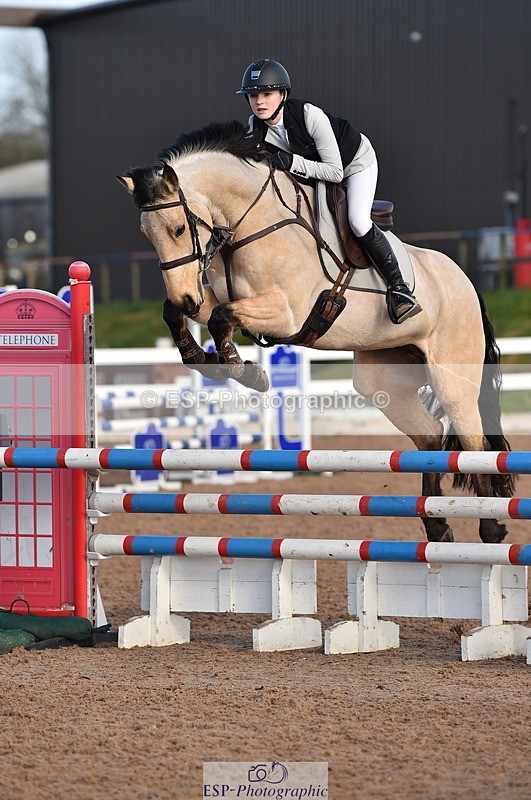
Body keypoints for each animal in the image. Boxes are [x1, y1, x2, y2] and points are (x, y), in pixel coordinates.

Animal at [117, 119, 514, 544]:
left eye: (178, 228)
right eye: (146, 235)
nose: (187, 297)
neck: (252, 222)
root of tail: (466, 282)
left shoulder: (287, 313)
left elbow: (222, 318)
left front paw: (245, 370)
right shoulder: (221, 299)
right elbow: (180, 313)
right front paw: (201, 357)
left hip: (451, 375)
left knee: (473, 442)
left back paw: (490, 527)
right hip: (383, 379)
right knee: (430, 436)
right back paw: (437, 526)